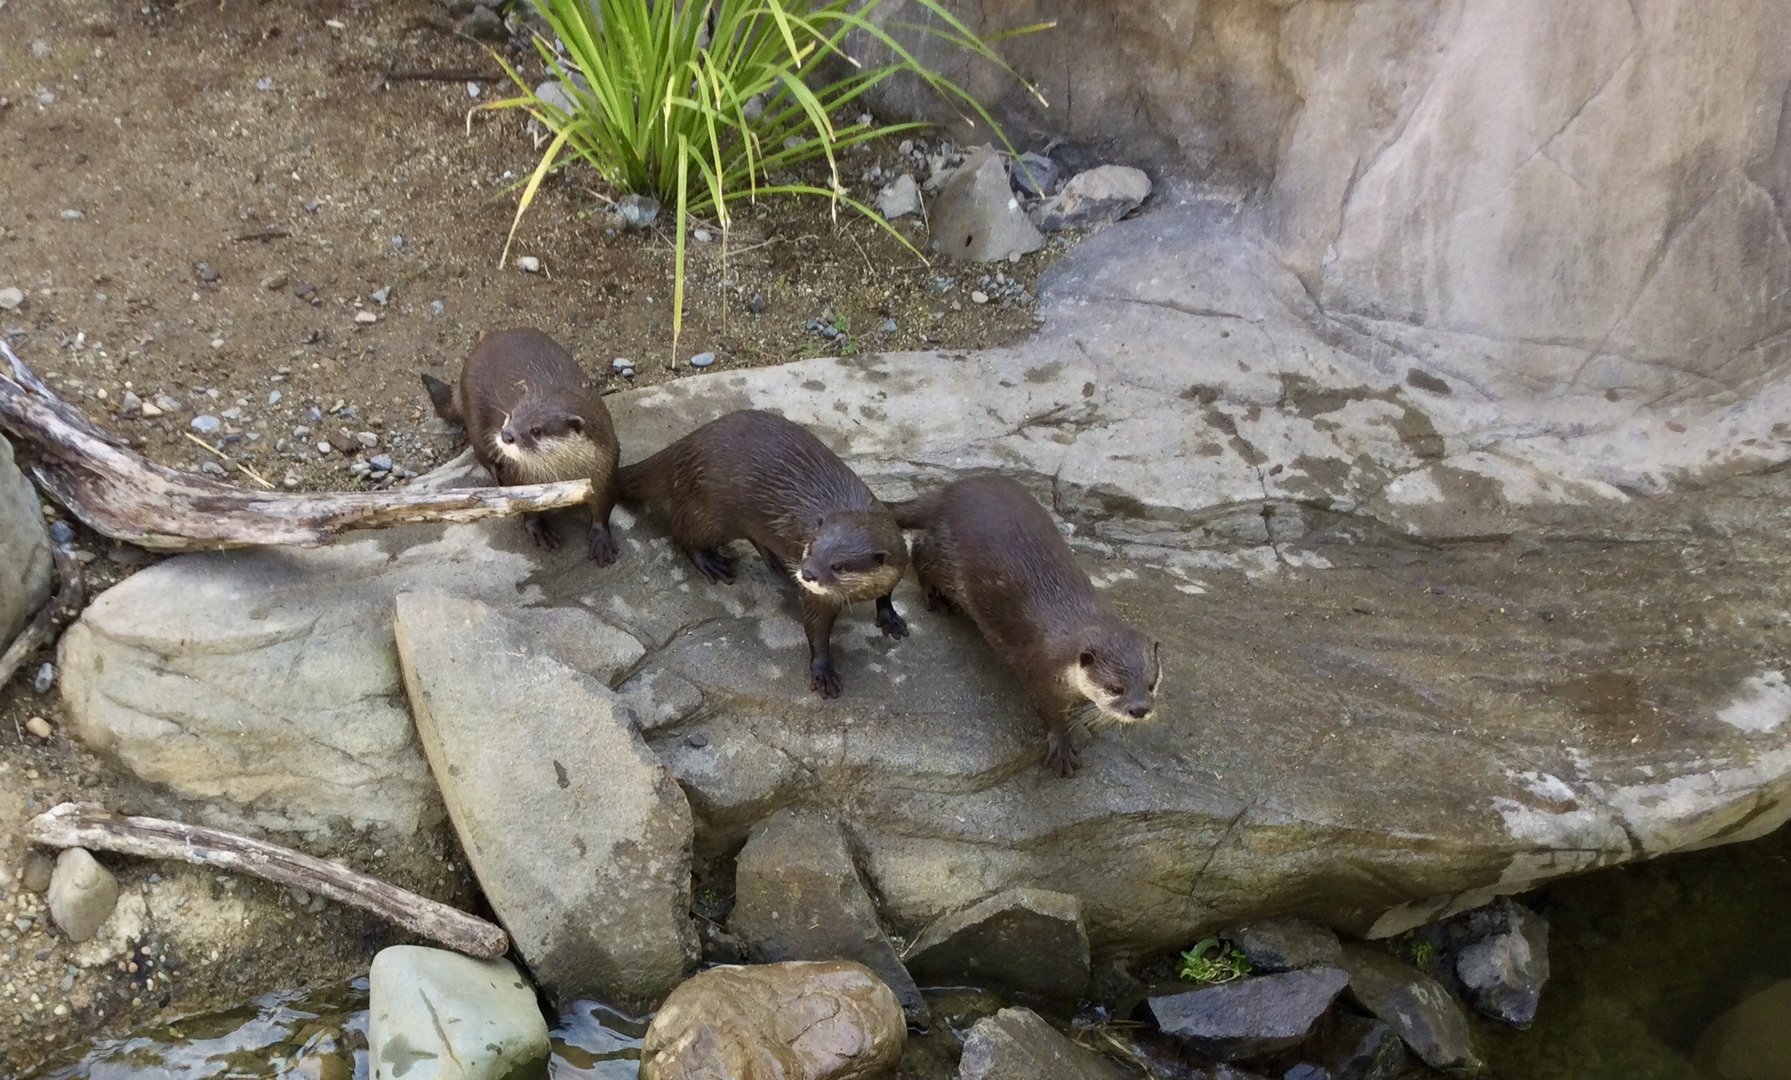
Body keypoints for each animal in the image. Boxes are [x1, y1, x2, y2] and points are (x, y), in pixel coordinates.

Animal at [420, 327, 621, 563]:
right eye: (512, 413)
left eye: (537, 430)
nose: (506, 434)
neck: (563, 475)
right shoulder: (516, 473)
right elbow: (524, 506)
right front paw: (540, 530)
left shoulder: (606, 466)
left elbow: (603, 505)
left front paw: (601, 539)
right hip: (475, 417)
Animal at [617, 409, 909, 697]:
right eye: (810, 548)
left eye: (838, 566)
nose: (807, 573)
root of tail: (686, 444)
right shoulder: (816, 597)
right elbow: (816, 629)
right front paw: (823, 671)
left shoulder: (898, 562)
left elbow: (887, 593)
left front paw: (889, 617)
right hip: (710, 511)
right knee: (680, 532)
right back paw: (712, 563)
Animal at [890, 474, 1161, 777]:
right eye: (1116, 688)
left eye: (1151, 684)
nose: (1140, 709)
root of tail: (944, 494)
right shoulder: (1041, 671)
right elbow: (1048, 711)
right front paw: (1062, 745)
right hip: (943, 551)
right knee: (919, 552)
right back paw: (935, 599)